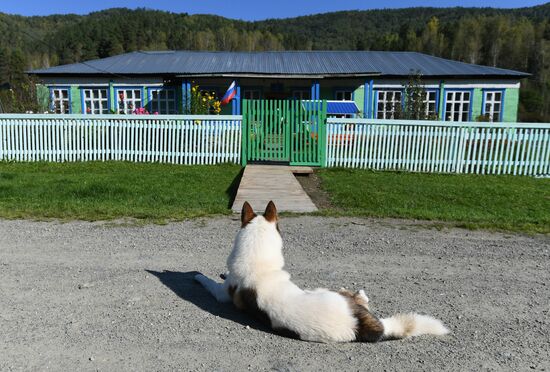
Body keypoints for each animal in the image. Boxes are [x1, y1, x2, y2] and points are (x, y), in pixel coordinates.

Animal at [196, 201, 450, 342]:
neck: (258, 259)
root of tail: (359, 325)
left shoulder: (222, 295)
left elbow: (207, 283)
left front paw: (198, 276)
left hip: (324, 291)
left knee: (359, 297)